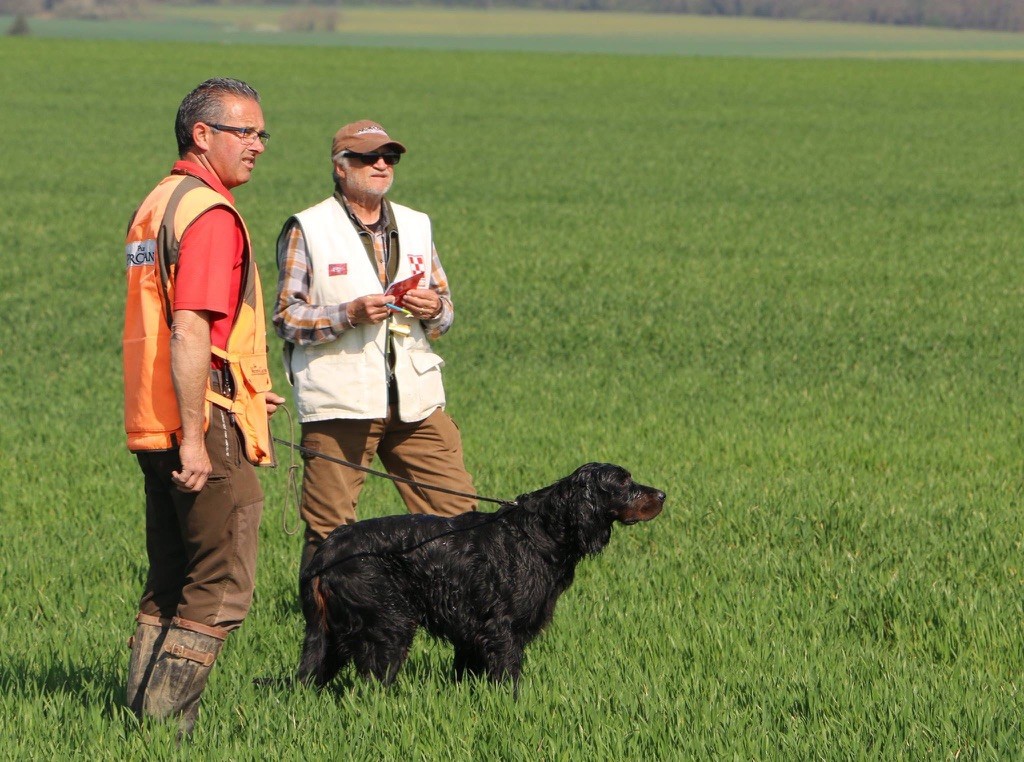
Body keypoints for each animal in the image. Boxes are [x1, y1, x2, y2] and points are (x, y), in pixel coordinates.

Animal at [296, 460, 663, 688]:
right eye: (624, 483)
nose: (663, 494)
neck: (541, 531)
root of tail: (329, 547)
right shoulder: (500, 626)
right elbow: (508, 675)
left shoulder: (471, 629)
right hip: (388, 622)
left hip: (333, 631)